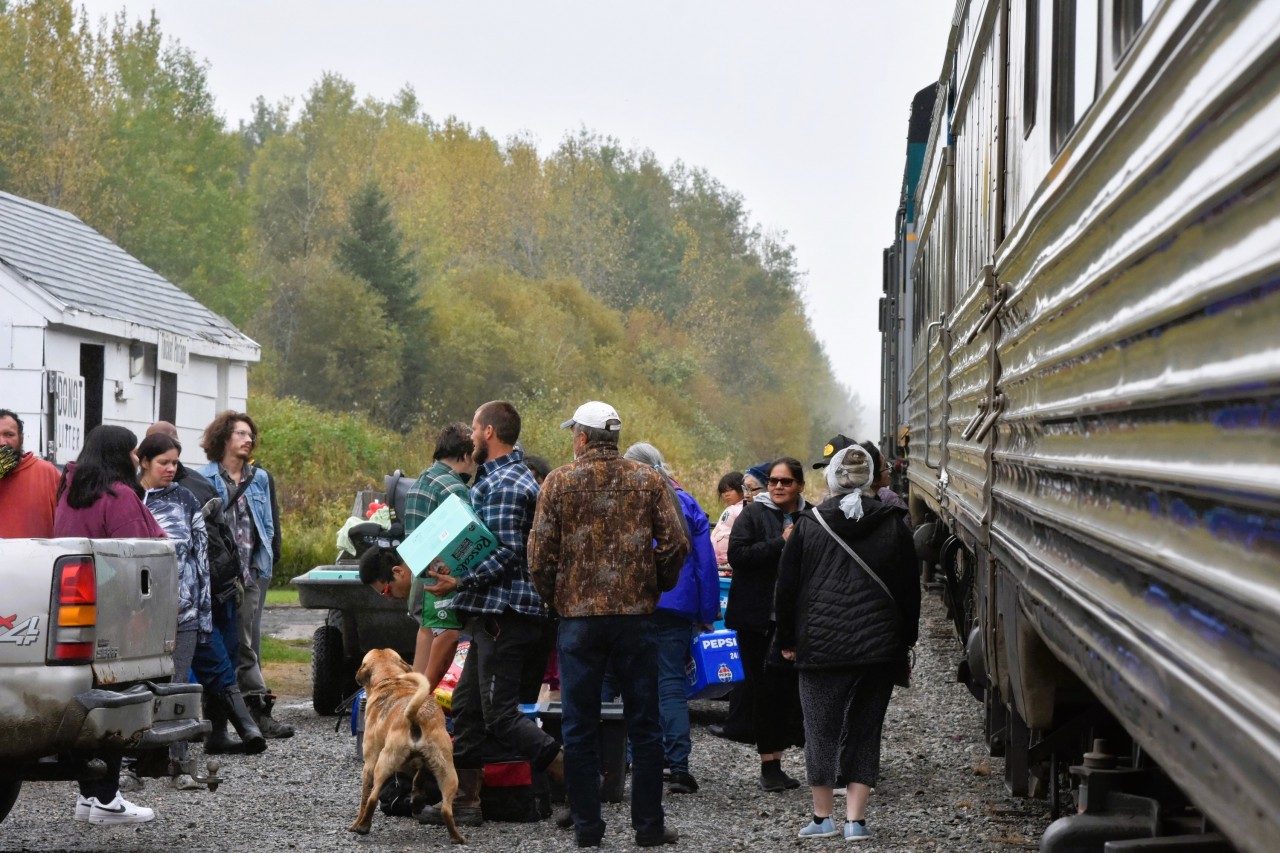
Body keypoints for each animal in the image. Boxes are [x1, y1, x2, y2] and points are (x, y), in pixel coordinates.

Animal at [348, 645, 468, 835]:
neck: (390, 680)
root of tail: (415, 716)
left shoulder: (369, 764)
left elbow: (364, 798)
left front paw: (356, 823)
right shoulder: (422, 763)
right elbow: (419, 775)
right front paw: (417, 798)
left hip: (382, 764)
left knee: (373, 798)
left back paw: (363, 826)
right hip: (448, 771)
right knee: (446, 809)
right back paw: (456, 836)